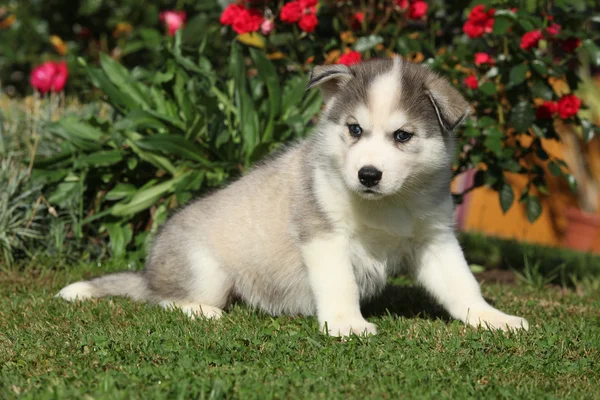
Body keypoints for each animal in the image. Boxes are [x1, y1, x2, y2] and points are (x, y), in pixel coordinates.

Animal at [56, 57, 528, 336]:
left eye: (402, 136)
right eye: (354, 129)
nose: (368, 175)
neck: (385, 205)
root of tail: (149, 270)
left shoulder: (435, 240)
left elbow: (463, 285)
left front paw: (493, 318)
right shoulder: (323, 235)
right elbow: (340, 283)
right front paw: (346, 325)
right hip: (206, 272)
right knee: (164, 301)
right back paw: (204, 311)